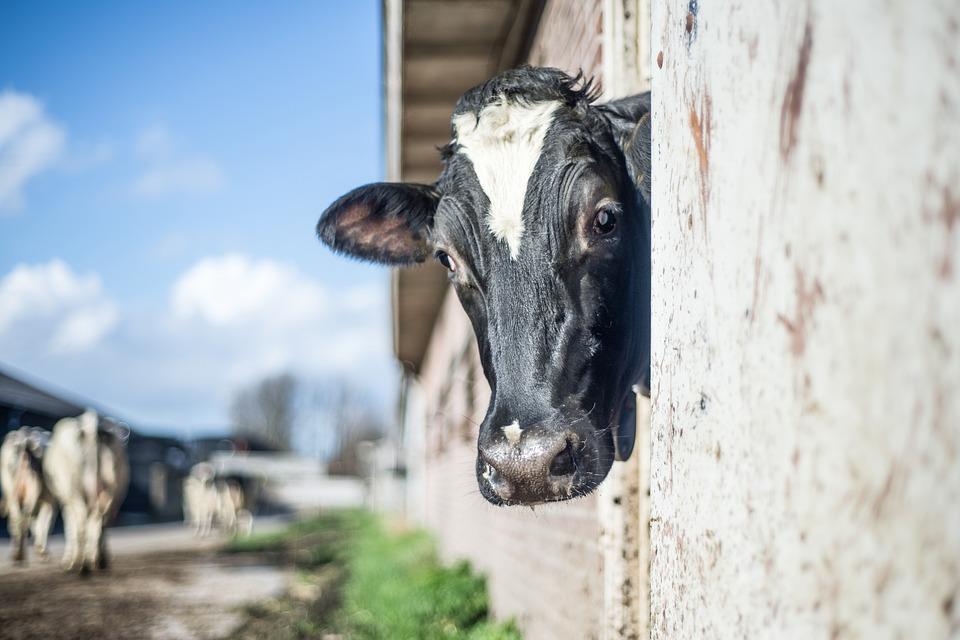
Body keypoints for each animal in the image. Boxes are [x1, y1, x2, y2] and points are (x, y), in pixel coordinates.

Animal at [0, 428, 55, 564]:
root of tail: (25, 439)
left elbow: (40, 523)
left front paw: (40, 550)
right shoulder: (50, 500)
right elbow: (44, 523)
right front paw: (42, 551)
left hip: (13, 488)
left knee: (18, 519)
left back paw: (18, 556)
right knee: (24, 519)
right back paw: (20, 555)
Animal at [44, 410, 129, 576]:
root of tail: (91, 422)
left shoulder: (67, 500)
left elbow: (70, 527)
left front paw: (68, 562)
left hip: (75, 489)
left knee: (82, 522)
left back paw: (82, 566)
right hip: (112, 490)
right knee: (101, 521)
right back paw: (99, 561)